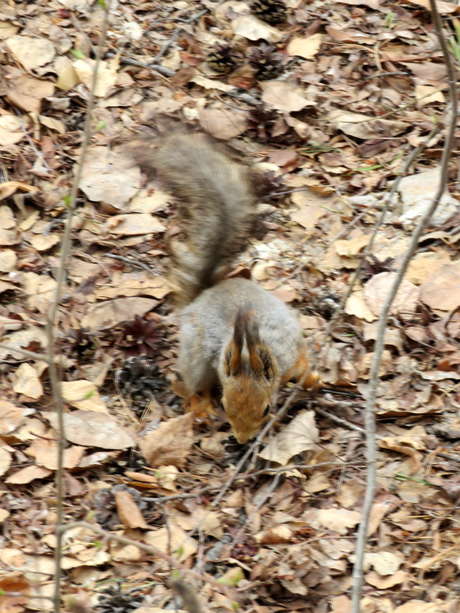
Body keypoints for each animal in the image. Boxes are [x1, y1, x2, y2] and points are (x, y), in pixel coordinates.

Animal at [134, 132, 320, 444]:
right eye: (226, 404)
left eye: (267, 408)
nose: (243, 440)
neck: (249, 351)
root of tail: (205, 294)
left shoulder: (291, 353)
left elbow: (303, 367)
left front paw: (313, 380)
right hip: (196, 357)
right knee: (193, 385)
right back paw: (200, 408)